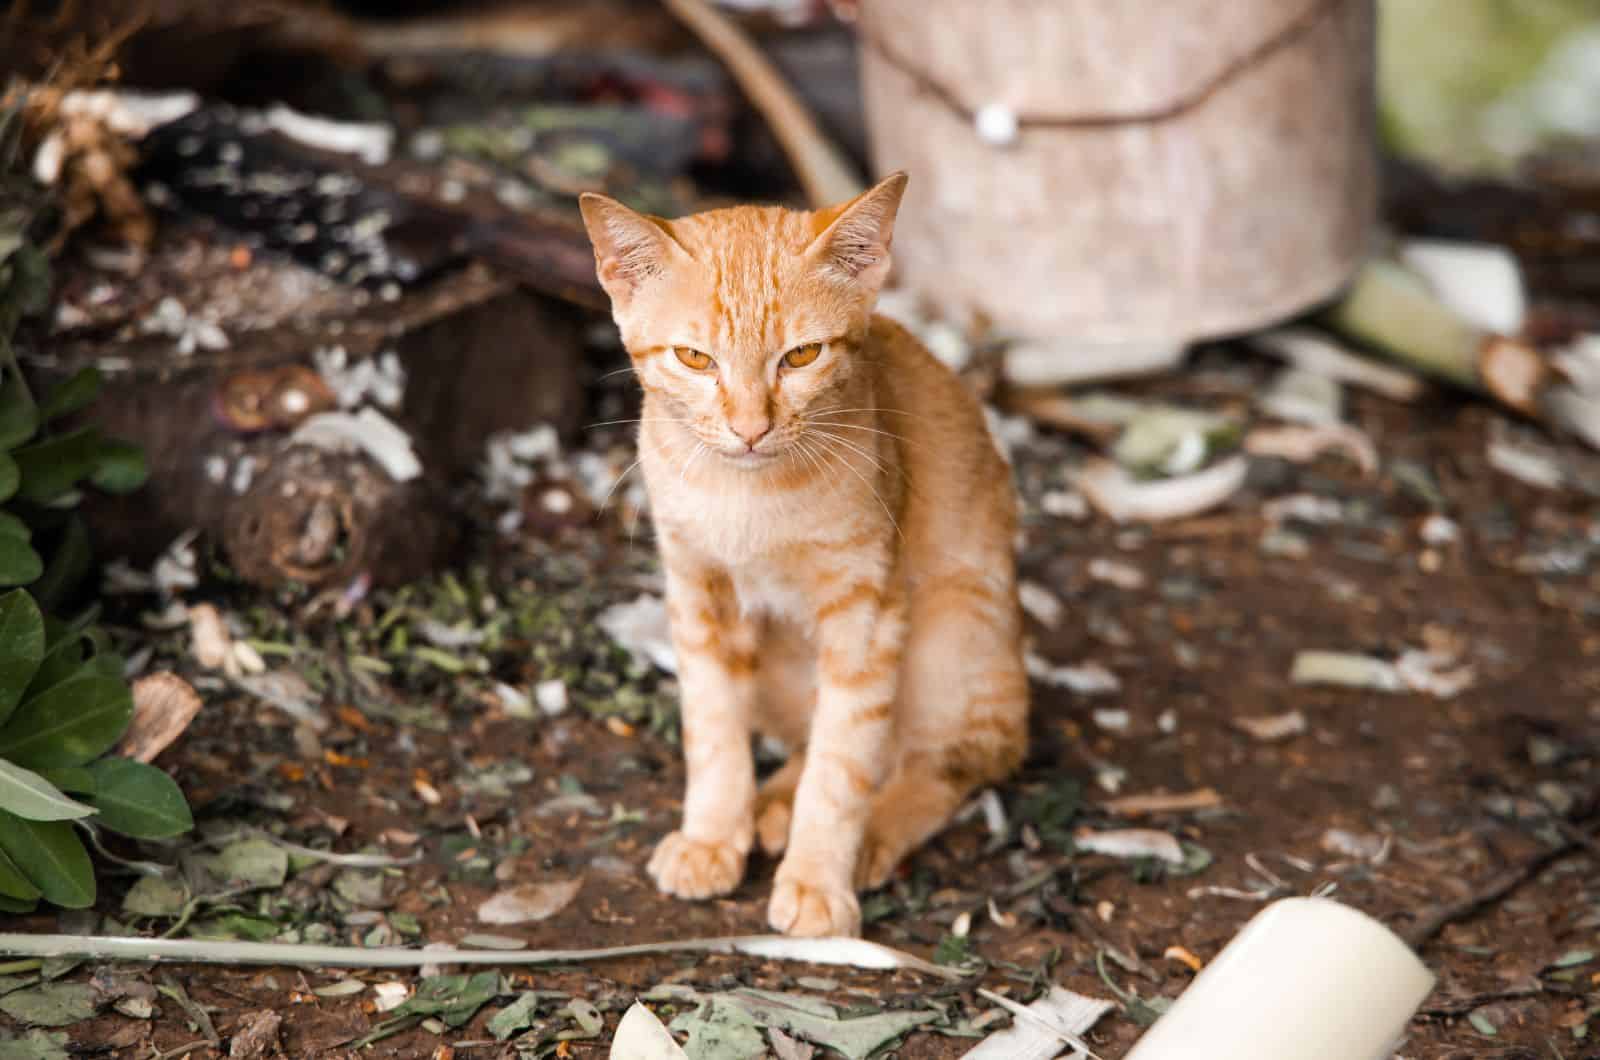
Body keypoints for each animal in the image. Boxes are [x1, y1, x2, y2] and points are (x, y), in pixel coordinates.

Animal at [579, 174, 1024, 941]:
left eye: (801, 357)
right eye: (695, 359)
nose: (750, 428)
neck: (747, 498)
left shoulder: (868, 610)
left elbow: (843, 762)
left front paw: (819, 877)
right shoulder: (697, 593)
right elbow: (714, 730)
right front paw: (711, 836)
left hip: (954, 634)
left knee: (950, 759)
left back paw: (874, 831)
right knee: (808, 737)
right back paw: (771, 806)